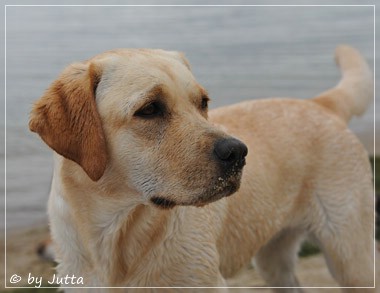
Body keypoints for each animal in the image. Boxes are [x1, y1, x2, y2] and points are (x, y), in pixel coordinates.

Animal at [29, 44, 374, 290]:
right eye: (149, 109)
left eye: (203, 103)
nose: (238, 152)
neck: (114, 235)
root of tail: (319, 103)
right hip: (273, 261)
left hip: (351, 256)